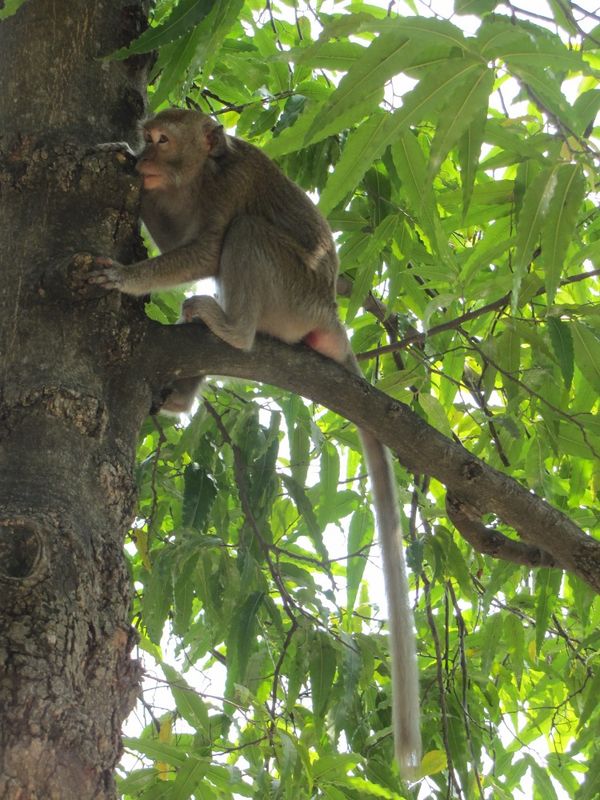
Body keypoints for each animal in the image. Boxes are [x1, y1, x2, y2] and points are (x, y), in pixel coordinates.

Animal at [88, 109, 422, 780]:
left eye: (163, 139)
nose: (144, 158)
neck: (201, 173)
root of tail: (331, 314)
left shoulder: (229, 186)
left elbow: (208, 245)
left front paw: (128, 276)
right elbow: (180, 237)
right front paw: (130, 176)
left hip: (291, 294)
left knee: (243, 239)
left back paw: (233, 330)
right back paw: (186, 389)